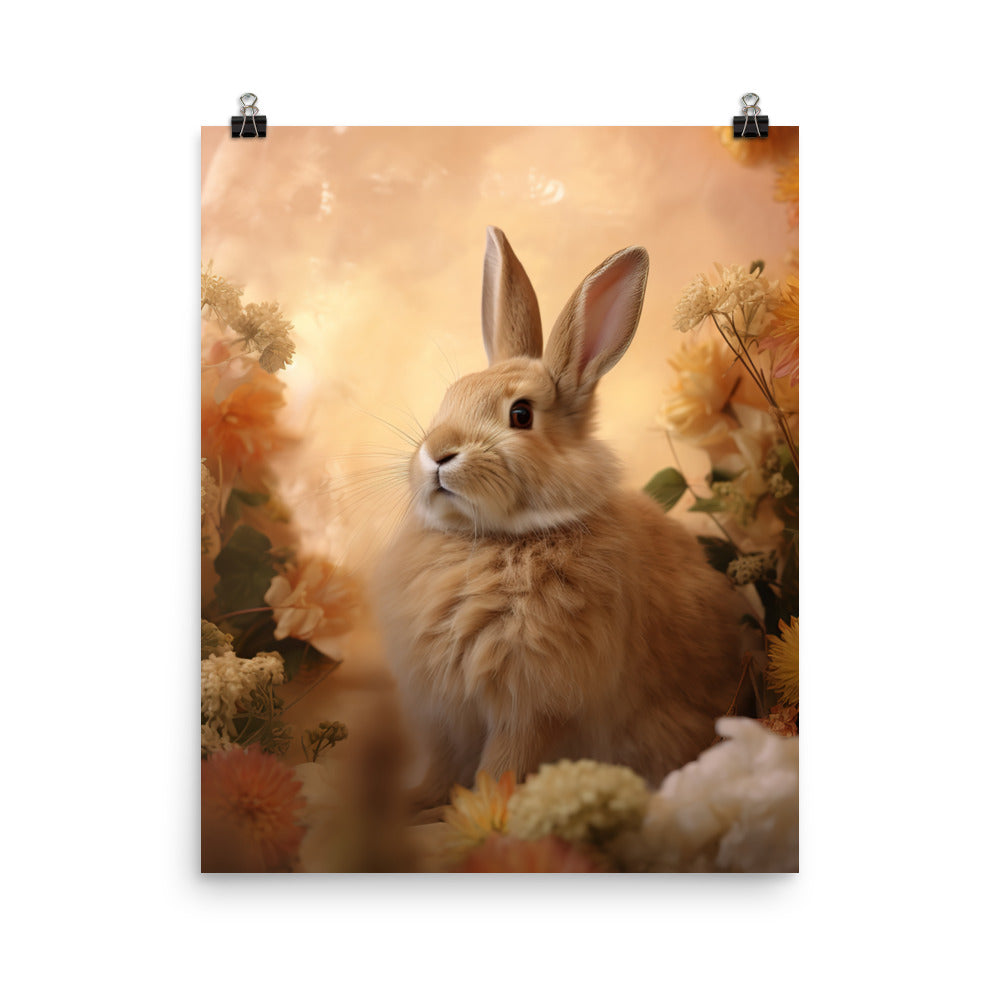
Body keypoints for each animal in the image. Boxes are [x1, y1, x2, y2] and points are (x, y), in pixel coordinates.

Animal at [372, 227, 755, 811]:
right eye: (448, 399)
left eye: (521, 415)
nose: (437, 453)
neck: (493, 539)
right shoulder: (446, 710)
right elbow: (442, 763)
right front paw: (415, 804)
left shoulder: (531, 703)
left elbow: (502, 764)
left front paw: (487, 815)